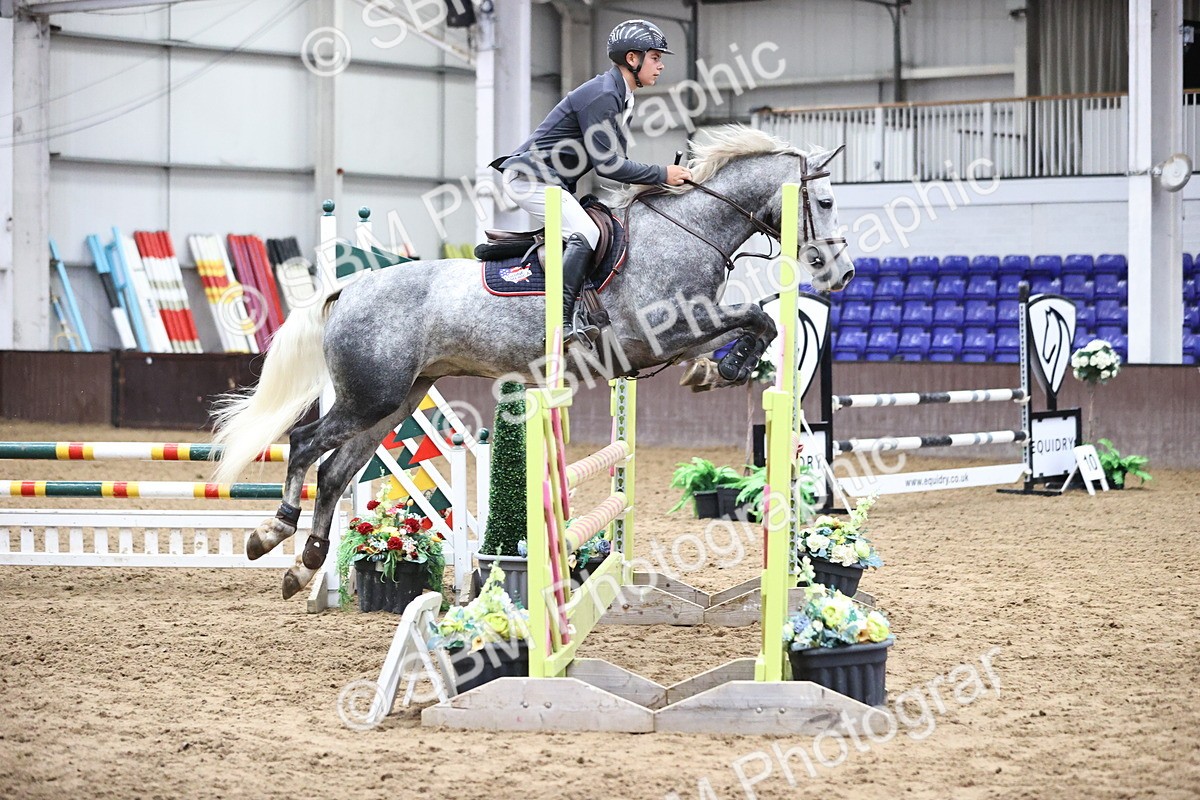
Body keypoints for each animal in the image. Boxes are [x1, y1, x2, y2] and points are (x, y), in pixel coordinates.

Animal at [210, 125, 855, 599]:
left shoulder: (682, 336)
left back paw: (304, 564)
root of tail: (353, 285)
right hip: (370, 395)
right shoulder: (664, 332)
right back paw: (272, 533)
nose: (842, 274)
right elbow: (759, 318)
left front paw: (724, 369)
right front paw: (732, 366)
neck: (689, 230)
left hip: (396, 401)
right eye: (824, 201)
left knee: (336, 471)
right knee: (305, 445)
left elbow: (758, 324)